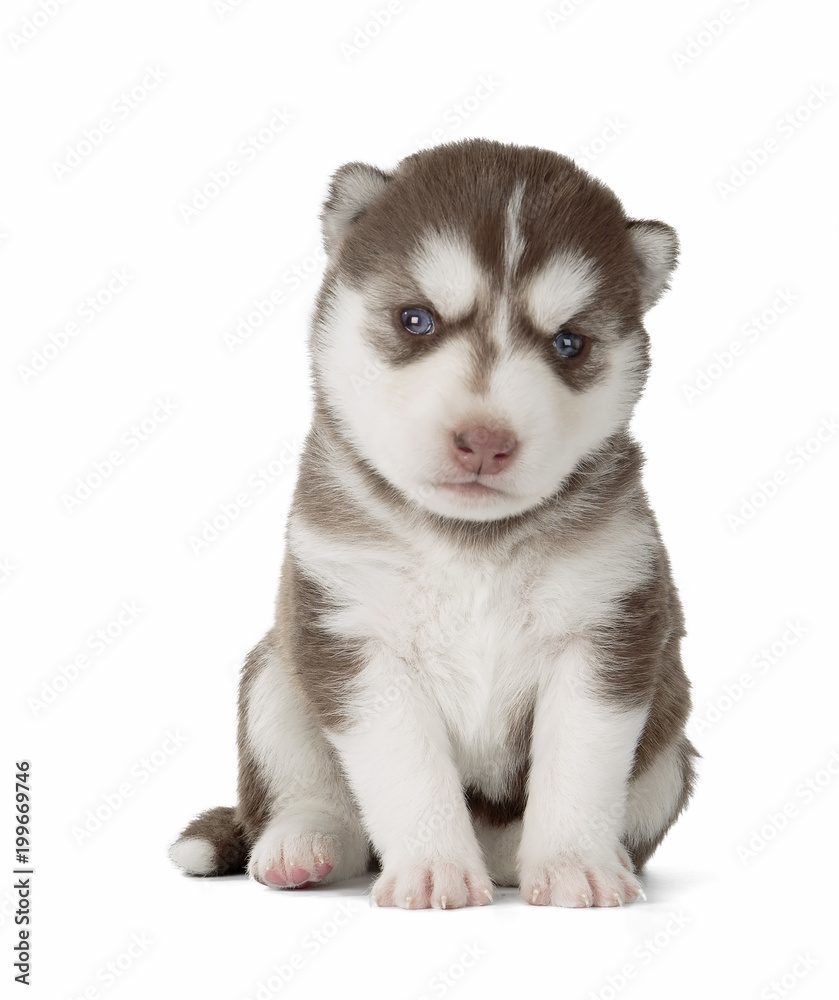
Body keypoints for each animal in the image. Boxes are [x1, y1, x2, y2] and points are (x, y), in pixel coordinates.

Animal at [169, 137, 696, 912]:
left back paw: (516, 856)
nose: (485, 440)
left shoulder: (606, 628)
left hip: (670, 753)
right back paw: (303, 845)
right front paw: (432, 868)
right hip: (275, 673)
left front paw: (572, 863)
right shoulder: (353, 635)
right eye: (416, 319)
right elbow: (406, 768)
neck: (471, 544)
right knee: (318, 801)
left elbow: (578, 764)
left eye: (569, 343)